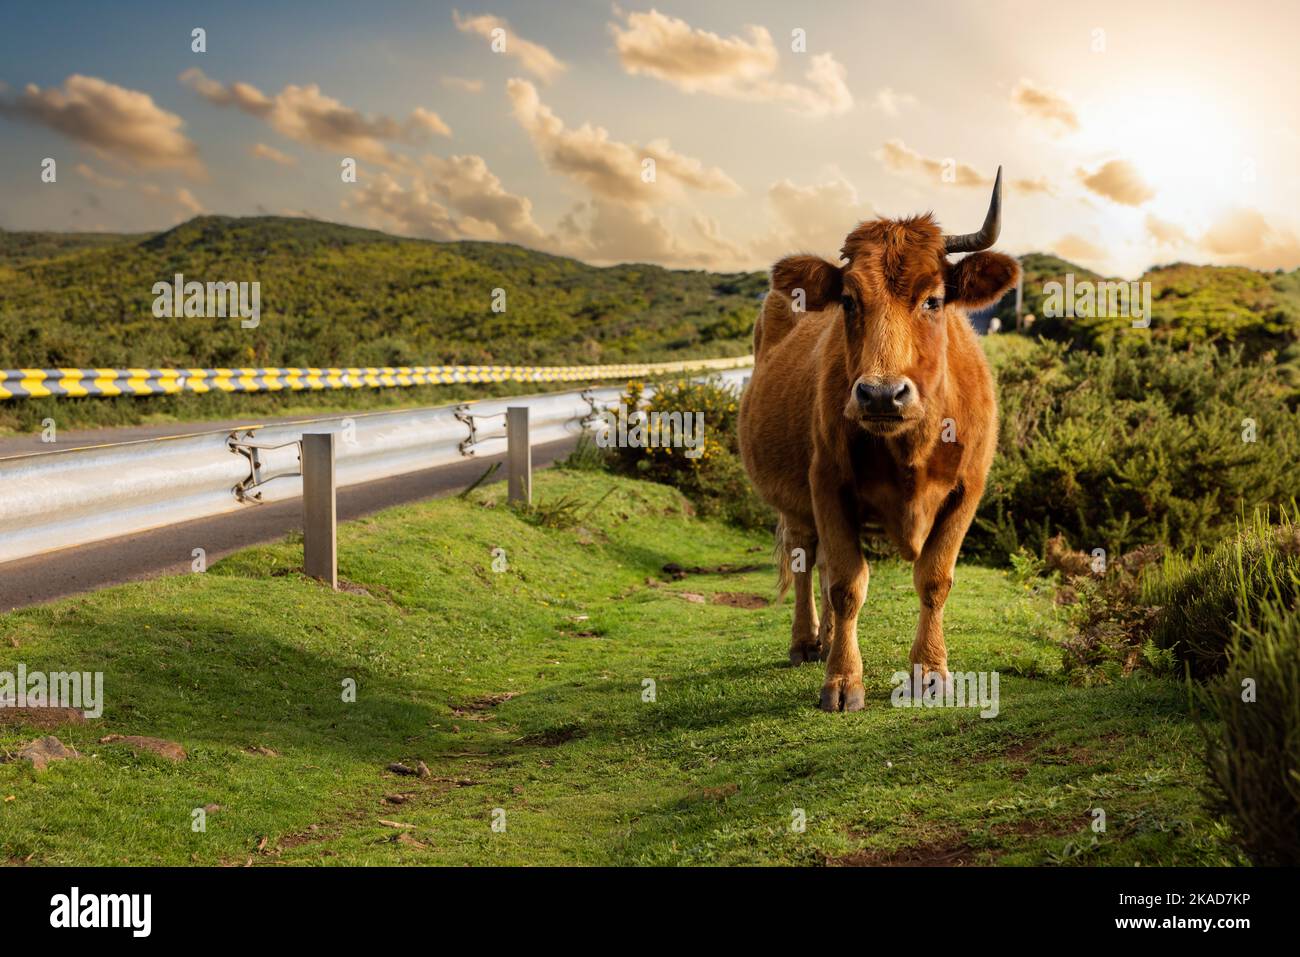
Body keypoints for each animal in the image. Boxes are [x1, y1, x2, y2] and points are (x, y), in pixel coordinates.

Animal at [737, 170, 1018, 712]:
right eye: (849, 300)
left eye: (933, 299)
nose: (882, 393)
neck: (910, 448)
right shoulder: (827, 485)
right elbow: (848, 585)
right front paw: (842, 680)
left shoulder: (967, 489)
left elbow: (934, 578)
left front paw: (930, 671)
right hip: (795, 503)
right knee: (806, 559)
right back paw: (806, 642)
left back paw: (825, 638)